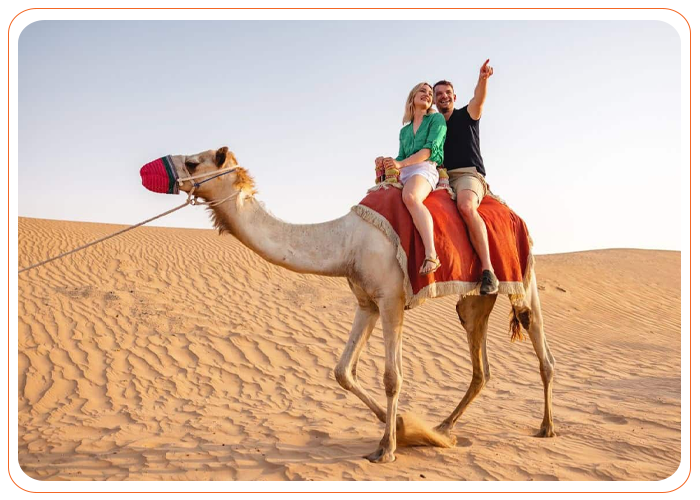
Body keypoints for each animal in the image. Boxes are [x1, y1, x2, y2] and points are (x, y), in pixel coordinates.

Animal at [169, 147, 556, 463]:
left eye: (194, 162)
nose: (168, 169)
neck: (346, 242)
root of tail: (514, 214)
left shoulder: (391, 300)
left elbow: (392, 377)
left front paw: (388, 447)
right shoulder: (366, 302)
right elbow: (342, 371)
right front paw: (402, 427)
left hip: (524, 275)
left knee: (539, 343)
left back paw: (546, 427)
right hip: (475, 300)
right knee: (481, 366)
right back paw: (444, 428)